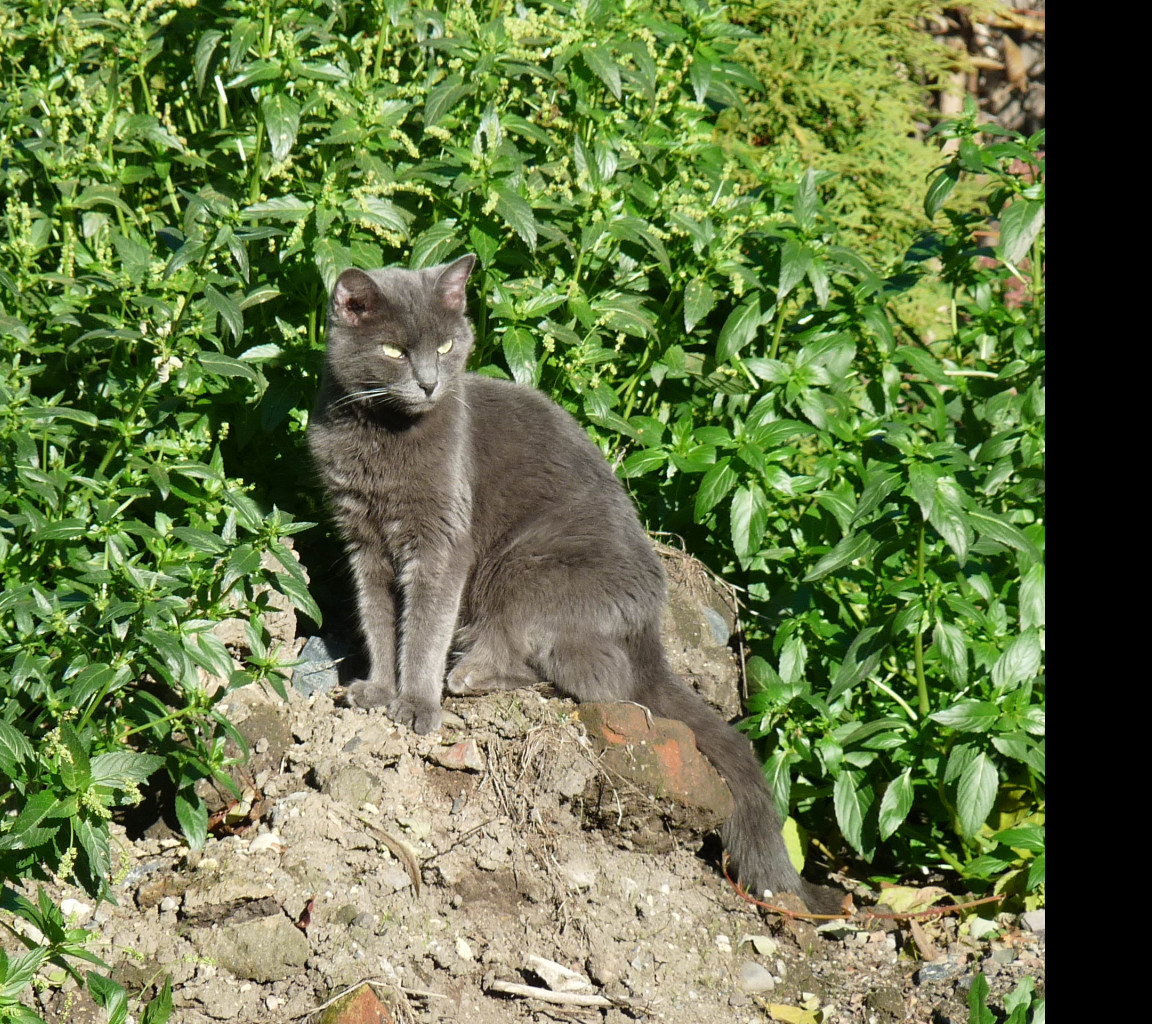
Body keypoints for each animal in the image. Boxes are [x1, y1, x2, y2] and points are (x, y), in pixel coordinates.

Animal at [311, 255, 843, 912]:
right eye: (392, 349)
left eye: (445, 345)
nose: (432, 383)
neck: (382, 439)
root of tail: (650, 632)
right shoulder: (363, 541)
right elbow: (380, 621)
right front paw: (377, 690)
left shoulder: (441, 542)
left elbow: (425, 627)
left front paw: (415, 704)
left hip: (524, 570)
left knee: (595, 678)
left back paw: (467, 677)